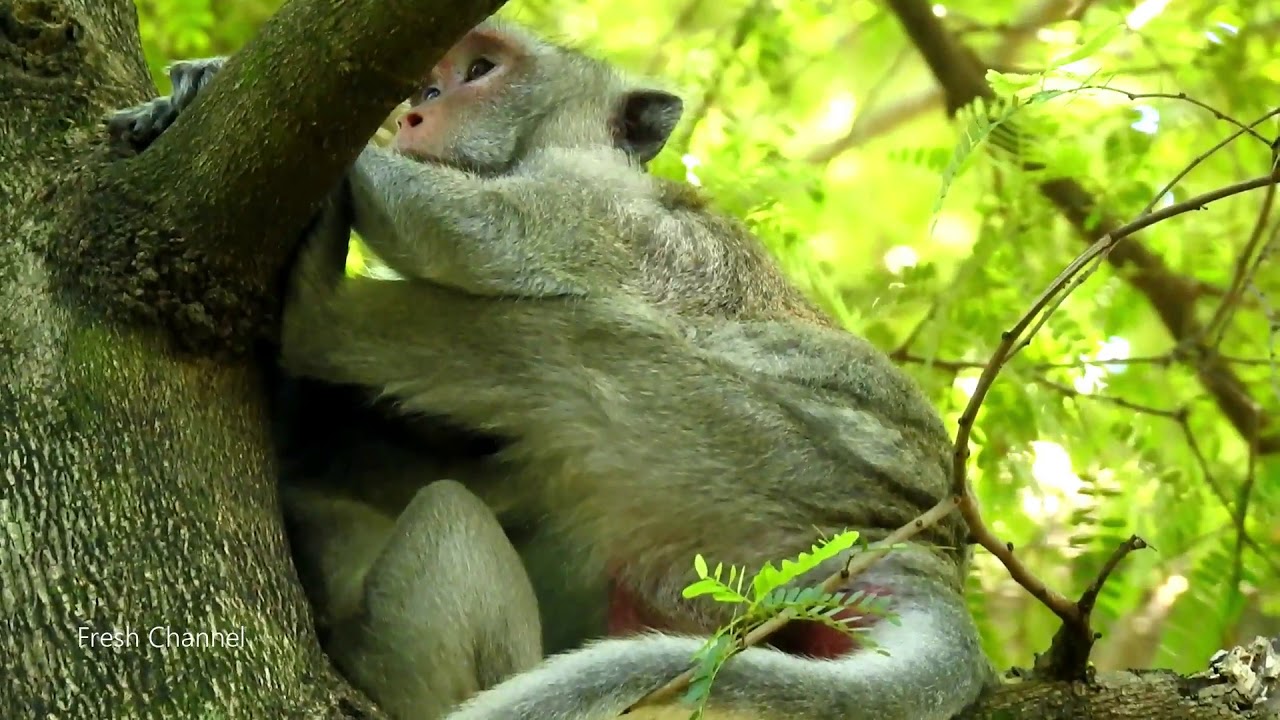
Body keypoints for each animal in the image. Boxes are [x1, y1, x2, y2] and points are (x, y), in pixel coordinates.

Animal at [109, 17, 995, 720]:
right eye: (432, 72)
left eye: (480, 69)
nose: (416, 105)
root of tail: (926, 545)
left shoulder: (592, 201)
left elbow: (479, 233)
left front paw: (239, 88)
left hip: (745, 460)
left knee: (567, 339)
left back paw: (316, 315)